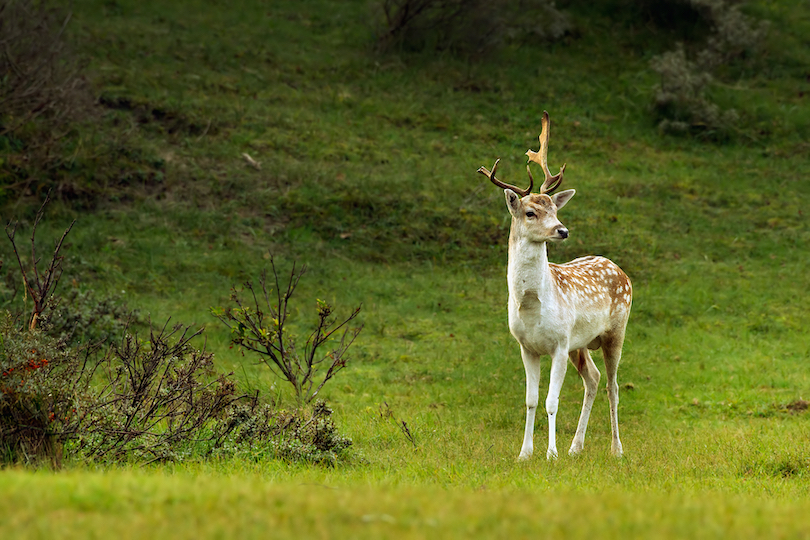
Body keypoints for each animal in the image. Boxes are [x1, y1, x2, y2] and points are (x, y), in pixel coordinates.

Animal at [474, 110, 632, 460]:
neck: (532, 305)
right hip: (581, 344)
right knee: (594, 379)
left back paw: (616, 449)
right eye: (531, 212)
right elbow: (531, 401)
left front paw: (551, 454)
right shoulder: (526, 346)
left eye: (556, 208)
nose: (562, 230)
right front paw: (525, 453)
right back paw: (576, 447)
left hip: (615, 330)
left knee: (613, 385)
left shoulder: (559, 342)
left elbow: (551, 401)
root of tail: (620, 270)